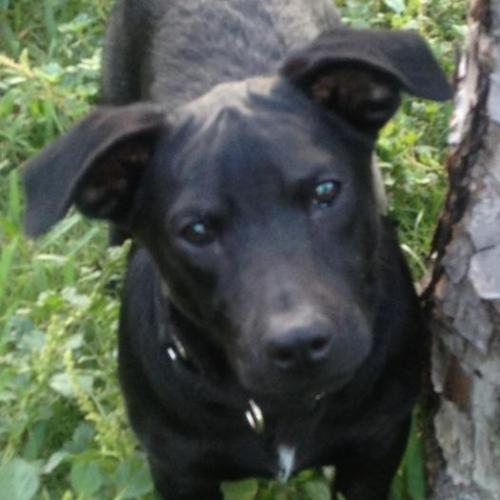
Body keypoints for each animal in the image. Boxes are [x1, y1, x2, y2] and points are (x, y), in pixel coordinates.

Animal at [21, 1, 452, 498]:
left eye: (326, 191)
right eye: (197, 230)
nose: (300, 345)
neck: (277, 409)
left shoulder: (376, 445)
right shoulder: (176, 467)